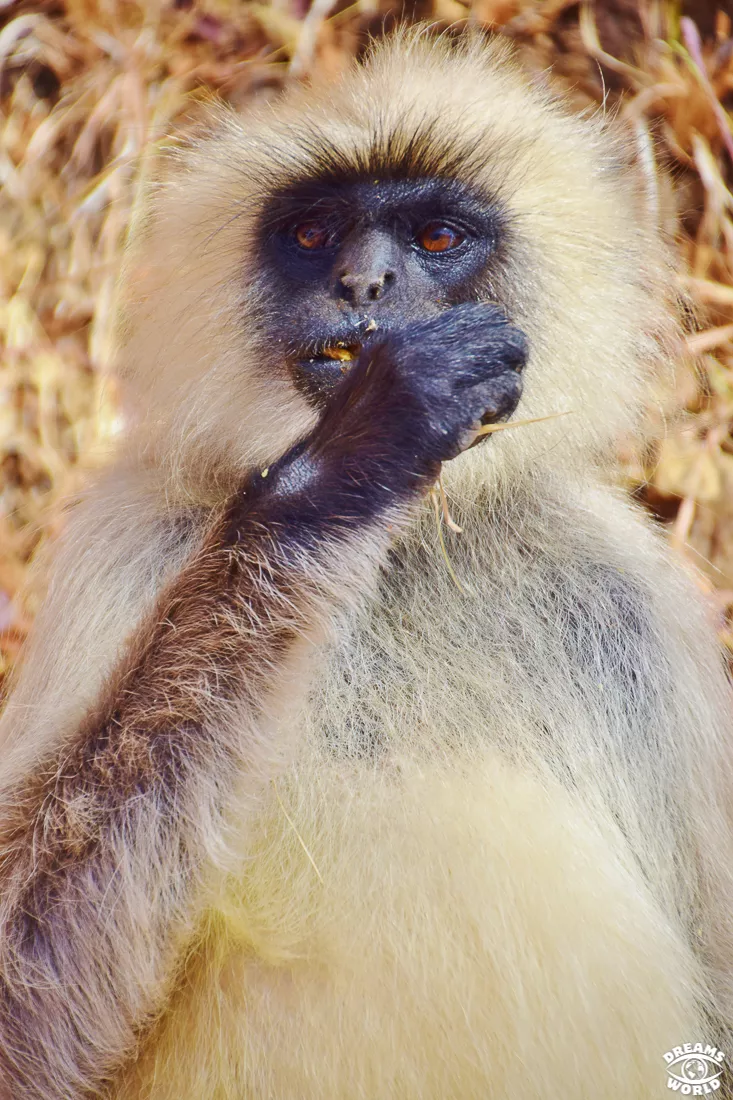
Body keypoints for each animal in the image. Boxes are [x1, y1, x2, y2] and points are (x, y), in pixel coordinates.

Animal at [0, 24, 732, 1100]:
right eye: (313, 235)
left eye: (435, 239)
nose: (362, 288)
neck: (405, 552)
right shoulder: (130, 539)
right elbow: (27, 1003)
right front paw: (348, 460)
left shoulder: (628, 597)